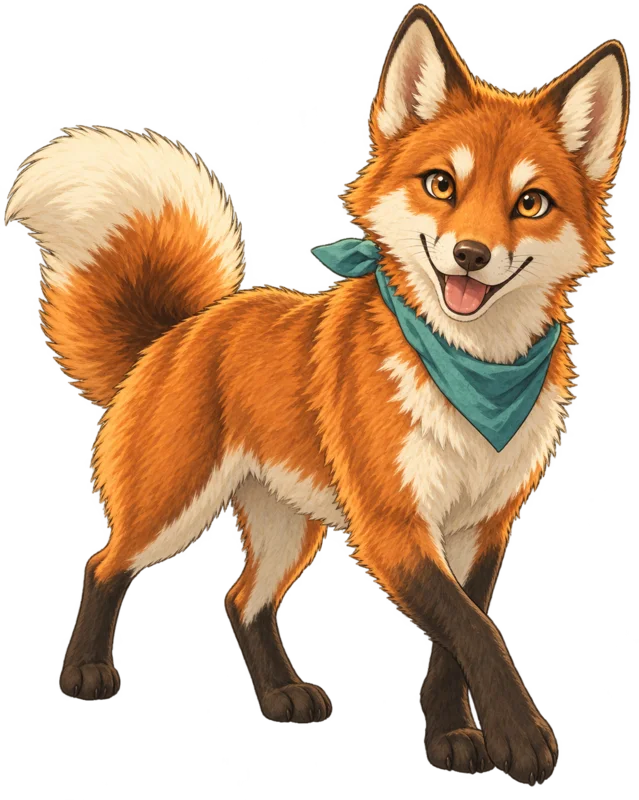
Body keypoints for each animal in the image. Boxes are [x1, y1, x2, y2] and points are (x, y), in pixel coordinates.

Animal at [10, 2, 630, 788]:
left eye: (531, 203)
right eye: (441, 185)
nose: (469, 255)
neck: (471, 381)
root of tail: (176, 330)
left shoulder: (481, 528)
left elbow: (457, 640)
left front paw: (456, 739)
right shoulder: (392, 525)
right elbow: (474, 631)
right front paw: (520, 738)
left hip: (287, 527)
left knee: (241, 601)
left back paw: (280, 697)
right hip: (174, 508)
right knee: (105, 565)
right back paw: (87, 672)